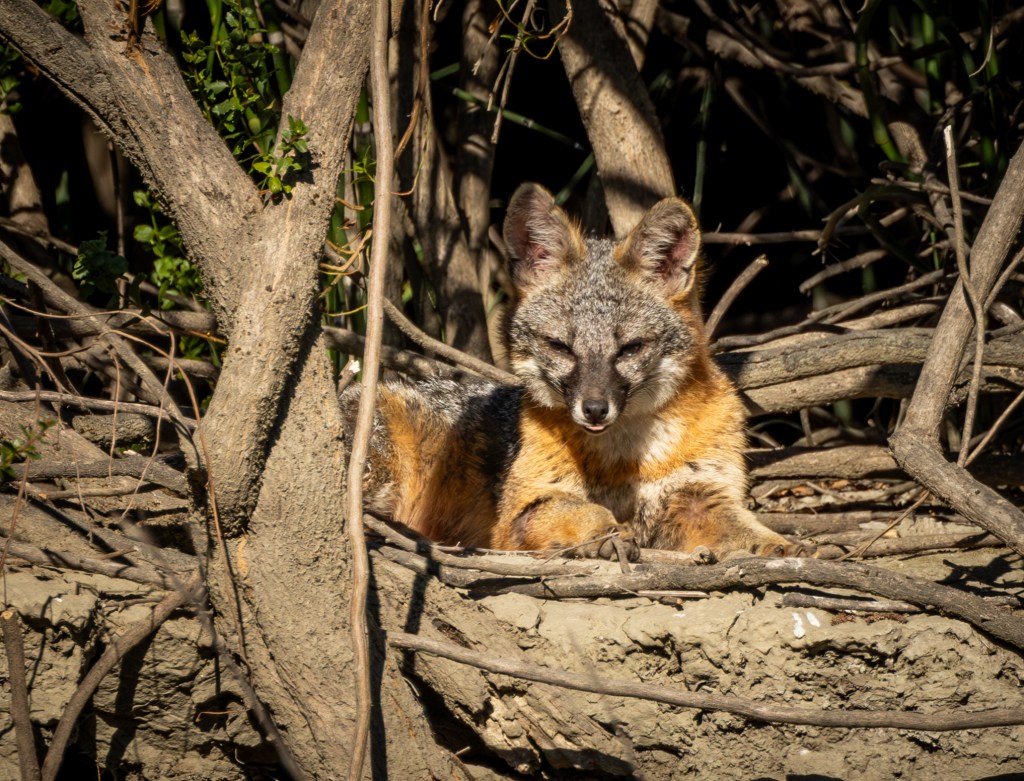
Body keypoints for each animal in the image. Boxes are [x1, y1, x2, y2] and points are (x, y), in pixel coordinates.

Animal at [342, 183, 803, 560]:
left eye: (630, 348)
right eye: (561, 347)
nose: (594, 409)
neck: (626, 457)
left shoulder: (698, 495)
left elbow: (744, 528)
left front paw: (783, 546)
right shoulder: (524, 509)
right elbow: (583, 509)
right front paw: (608, 532)